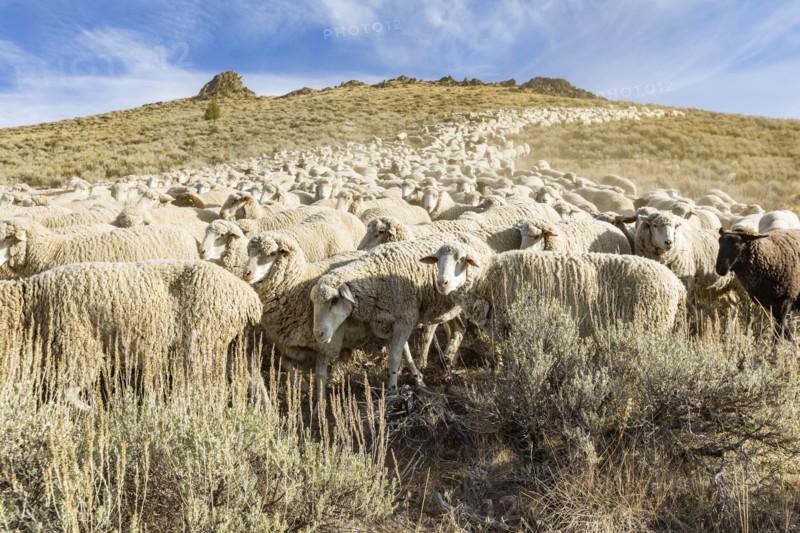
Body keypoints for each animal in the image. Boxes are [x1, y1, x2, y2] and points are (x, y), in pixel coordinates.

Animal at [0, 260, 262, 392]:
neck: (35, 301)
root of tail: (249, 297)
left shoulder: (80, 344)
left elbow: (70, 389)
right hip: (226, 344)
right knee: (251, 378)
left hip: (203, 340)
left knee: (203, 383)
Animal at [419, 244, 686, 345]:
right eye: (437, 260)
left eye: (462, 260)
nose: (442, 283)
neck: (489, 277)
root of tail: (677, 284)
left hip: (651, 327)